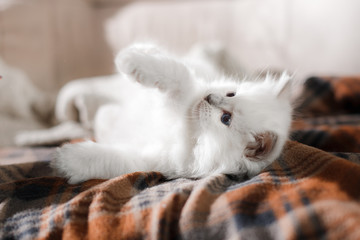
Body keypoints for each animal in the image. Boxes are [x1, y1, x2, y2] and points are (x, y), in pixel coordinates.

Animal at [54, 43, 296, 183]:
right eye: (231, 93)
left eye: (226, 119)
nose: (209, 97)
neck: (191, 131)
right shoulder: (185, 90)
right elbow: (175, 73)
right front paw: (130, 60)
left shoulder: (151, 160)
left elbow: (107, 158)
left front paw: (65, 160)